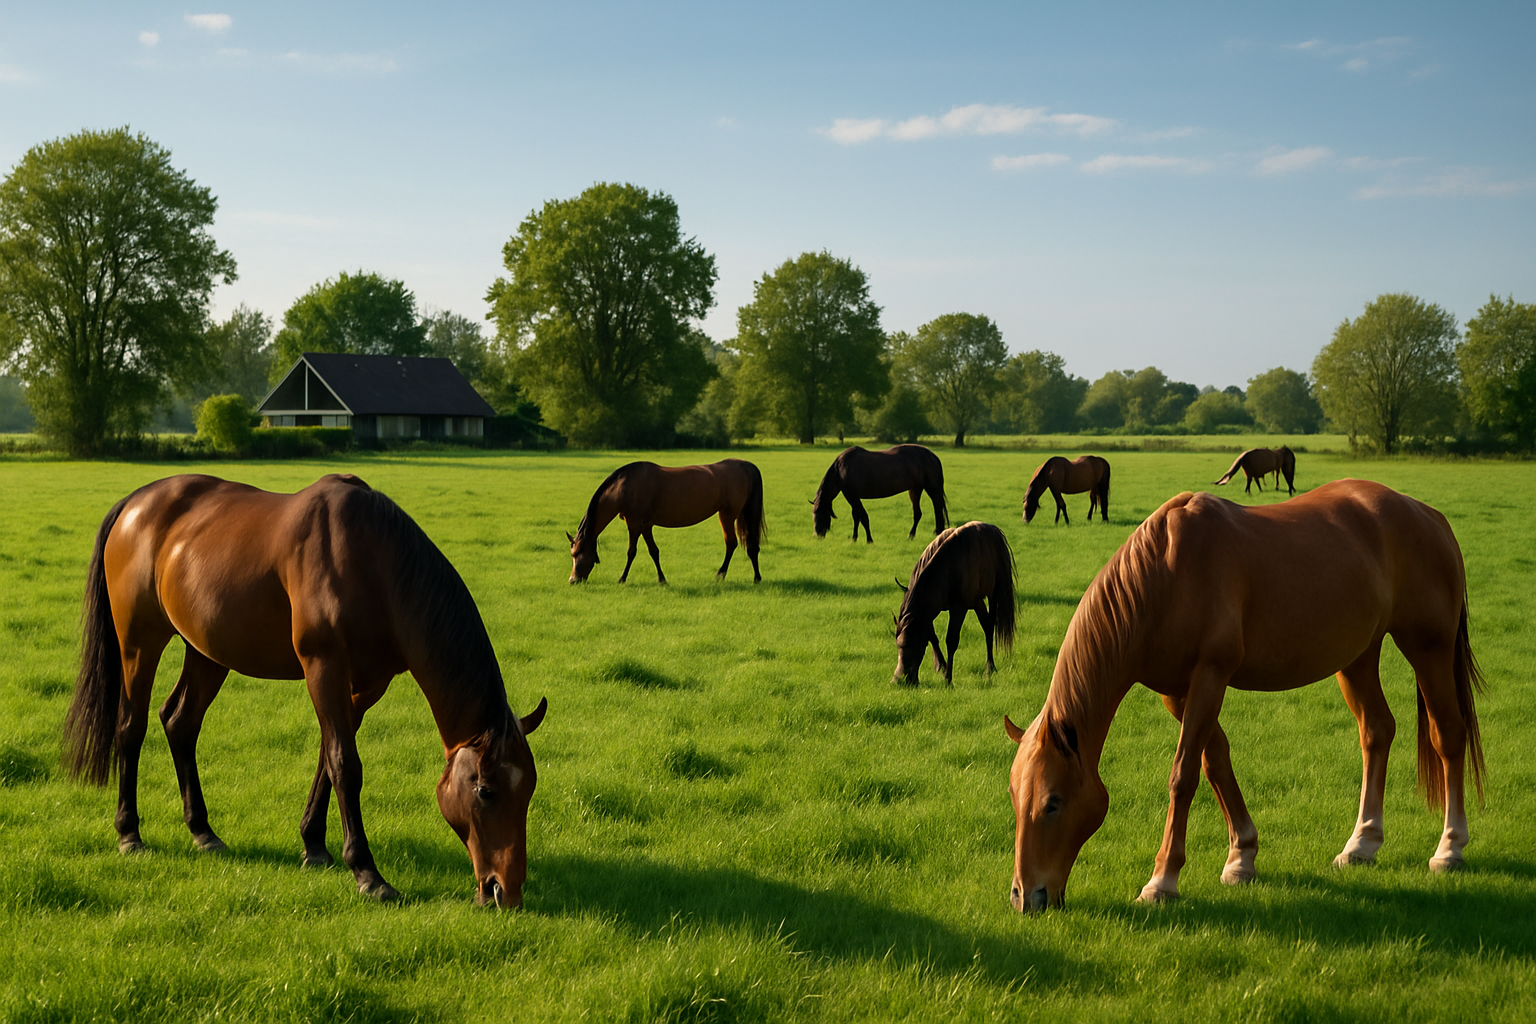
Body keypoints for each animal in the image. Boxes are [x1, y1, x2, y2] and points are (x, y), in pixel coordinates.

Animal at [63, 473, 547, 908]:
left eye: (529, 789)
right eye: (485, 791)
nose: (505, 891)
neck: (375, 561)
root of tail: (135, 502)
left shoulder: (368, 684)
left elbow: (328, 759)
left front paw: (314, 845)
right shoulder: (323, 667)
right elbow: (345, 764)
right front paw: (367, 874)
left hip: (207, 650)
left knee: (180, 722)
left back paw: (202, 831)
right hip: (138, 643)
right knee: (131, 727)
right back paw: (129, 833)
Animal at [567, 458, 765, 585]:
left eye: (577, 553)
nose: (572, 581)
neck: (624, 487)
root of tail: (744, 465)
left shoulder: (634, 523)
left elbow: (631, 552)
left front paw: (622, 578)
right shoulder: (645, 525)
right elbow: (653, 551)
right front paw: (661, 579)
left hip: (727, 514)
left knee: (732, 543)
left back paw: (724, 574)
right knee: (748, 545)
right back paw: (755, 577)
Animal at [811, 444, 948, 543]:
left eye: (819, 513)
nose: (817, 534)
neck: (841, 469)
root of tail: (933, 457)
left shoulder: (853, 496)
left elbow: (863, 517)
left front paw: (869, 539)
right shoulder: (851, 497)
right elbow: (856, 517)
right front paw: (854, 538)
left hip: (933, 489)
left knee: (937, 509)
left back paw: (937, 533)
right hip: (915, 489)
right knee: (918, 513)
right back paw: (912, 535)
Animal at [893, 521, 1017, 686]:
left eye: (916, 646)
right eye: (899, 646)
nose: (898, 680)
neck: (946, 570)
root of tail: (994, 529)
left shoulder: (959, 608)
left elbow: (951, 640)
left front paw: (948, 679)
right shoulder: (927, 612)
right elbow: (932, 636)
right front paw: (941, 666)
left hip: (994, 594)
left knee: (990, 625)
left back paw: (990, 667)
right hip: (977, 601)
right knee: (988, 625)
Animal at [1002, 479, 1485, 912]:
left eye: (1053, 802)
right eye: (1014, 799)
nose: (1026, 897)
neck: (1165, 575)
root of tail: (1428, 515)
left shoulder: (1210, 677)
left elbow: (1184, 775)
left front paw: (1163, 880)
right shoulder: (1177, 692)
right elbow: (1215, 762)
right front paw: (1241, 857)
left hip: (1428, 647)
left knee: (1447, 735)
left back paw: (1450, 848)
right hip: (1358, 657)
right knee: (1377, 730)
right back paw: (1362, 843)